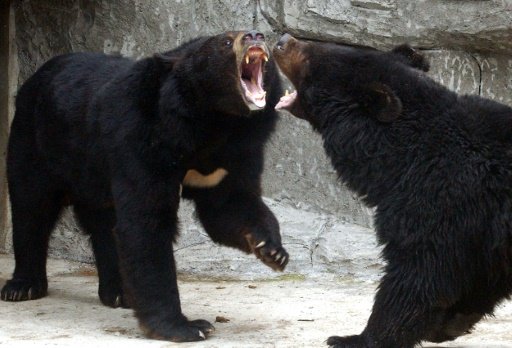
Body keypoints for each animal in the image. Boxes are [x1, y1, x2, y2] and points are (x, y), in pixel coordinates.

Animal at [1, 30, 288, 342]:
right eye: (225, 41)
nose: (255, 35)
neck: (216, 122)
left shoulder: (236, 154)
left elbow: (229, 205)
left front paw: (273, 250)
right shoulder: (143, 139)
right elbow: (147, 225)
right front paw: (188, 326)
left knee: (105, 226)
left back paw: (119, 293)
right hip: (36, 142)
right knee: (32, 209)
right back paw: (23, 287)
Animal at [274, 33, 512, 348]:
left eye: (310, 61)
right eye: (320, 45)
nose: (281, 41)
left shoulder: (441, 196)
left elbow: (416, 272)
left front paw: (353, 338)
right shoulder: (484, 233)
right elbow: (482, 273)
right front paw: (449, 323)